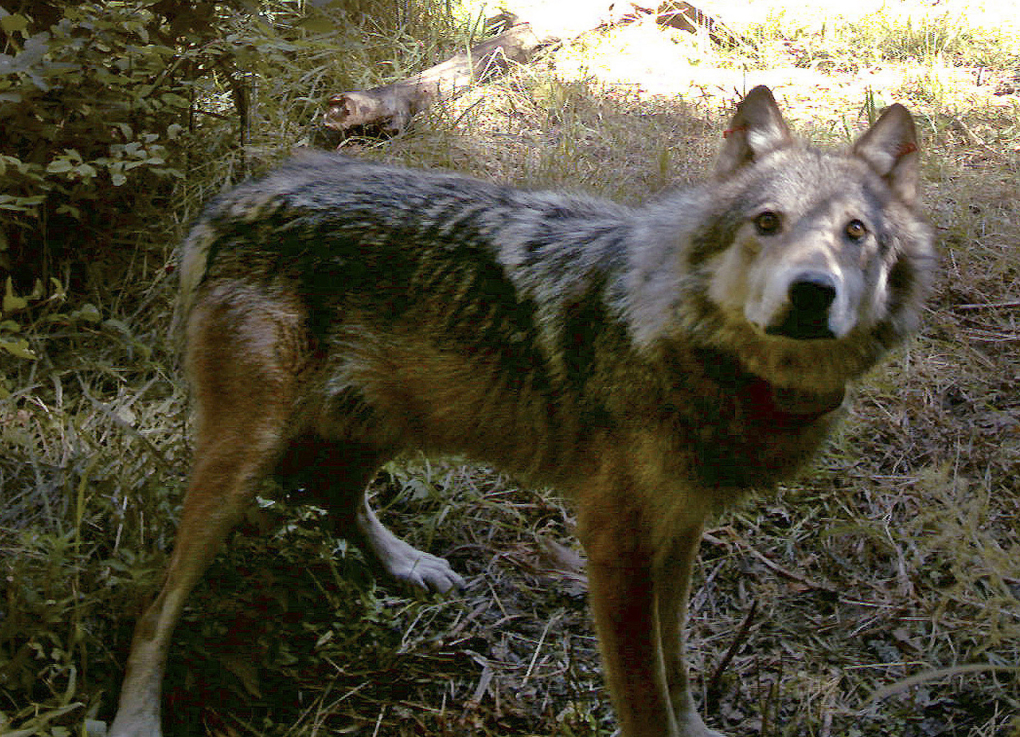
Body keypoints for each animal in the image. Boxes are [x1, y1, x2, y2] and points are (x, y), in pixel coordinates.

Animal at [109, 86, 934, 737]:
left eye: (855, 233)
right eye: (766, 223)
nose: (812, 292)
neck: (689, 342)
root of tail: (232, 198)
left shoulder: (679, 532)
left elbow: (677, 669)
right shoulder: (616, 548)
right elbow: (646, 699)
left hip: (395, 419)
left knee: (335, 496)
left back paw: (409, 563)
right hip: (246, 458)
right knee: (153, 607)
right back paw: (136, 717)